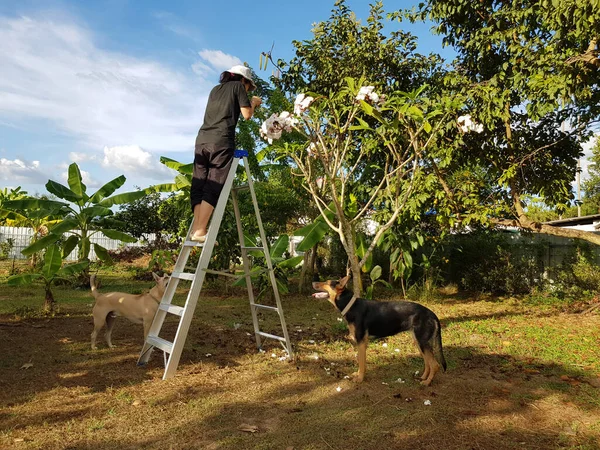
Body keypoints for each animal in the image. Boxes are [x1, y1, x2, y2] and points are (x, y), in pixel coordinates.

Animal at [314, 276, 446, 384]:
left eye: (327, 282)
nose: (313, 282)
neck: (350, 305)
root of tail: (432, 314)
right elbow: (360, 361)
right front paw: (358, 375)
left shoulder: (361, 342)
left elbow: (361, 362)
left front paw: (360, 378)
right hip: (419, 342)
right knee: (428, 362)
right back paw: (423, 377)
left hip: (422, 342)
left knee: (435, 365)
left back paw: (427, 382)